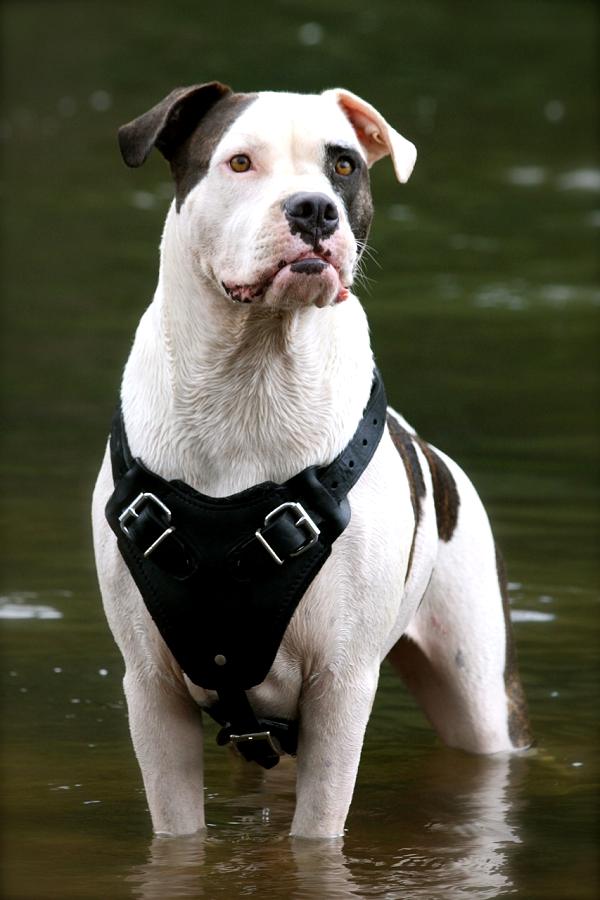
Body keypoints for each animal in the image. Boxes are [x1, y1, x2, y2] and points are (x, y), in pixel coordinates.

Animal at [90, 82, 528, 836]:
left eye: (344, 165)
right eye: (239, 161)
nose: (315, 208)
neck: (251, 378)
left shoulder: (341, 686)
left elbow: (317, 837)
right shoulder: (151, 691)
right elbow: (179, 835)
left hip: (477, 693)